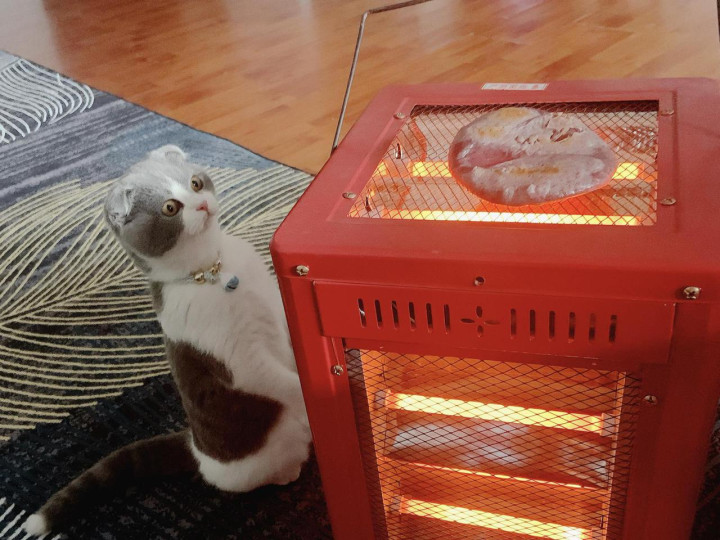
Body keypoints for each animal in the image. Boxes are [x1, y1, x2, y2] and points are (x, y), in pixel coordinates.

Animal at [23, 145, 312, 535]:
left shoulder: (277, 313)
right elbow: (281, 382)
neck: (215, 271)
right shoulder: (241, 360)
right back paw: (290, 469)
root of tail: (195, 448)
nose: (201, 204)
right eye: (171, 208)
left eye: (195, 183)